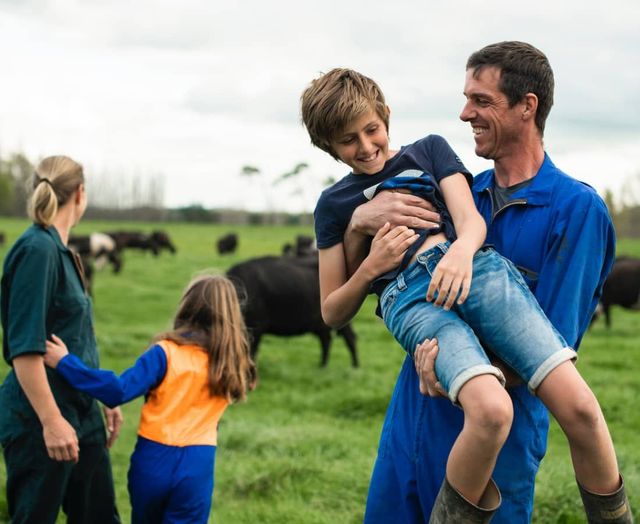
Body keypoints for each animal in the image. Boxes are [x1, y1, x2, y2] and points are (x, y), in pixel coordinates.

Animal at [229, 256, 360, 366]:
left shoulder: (256, 327)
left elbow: (251, 353)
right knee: (326, 340)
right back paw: (322, 366)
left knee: (349, 338)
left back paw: (354, 366)